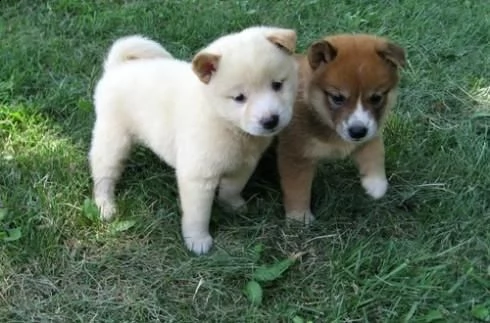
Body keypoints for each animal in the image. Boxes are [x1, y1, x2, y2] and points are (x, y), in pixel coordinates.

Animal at [89, 27, 298, 256]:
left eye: (277, 85)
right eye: (239, 98)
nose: (270, 120)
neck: (227, 124)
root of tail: (117, 67)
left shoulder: (243, 165)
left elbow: (232, 189)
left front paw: (234, 206)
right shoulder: (198, 176)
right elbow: (198, 214)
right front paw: (198, 241)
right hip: (113, 138)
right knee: (103, 175)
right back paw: (106, 206)